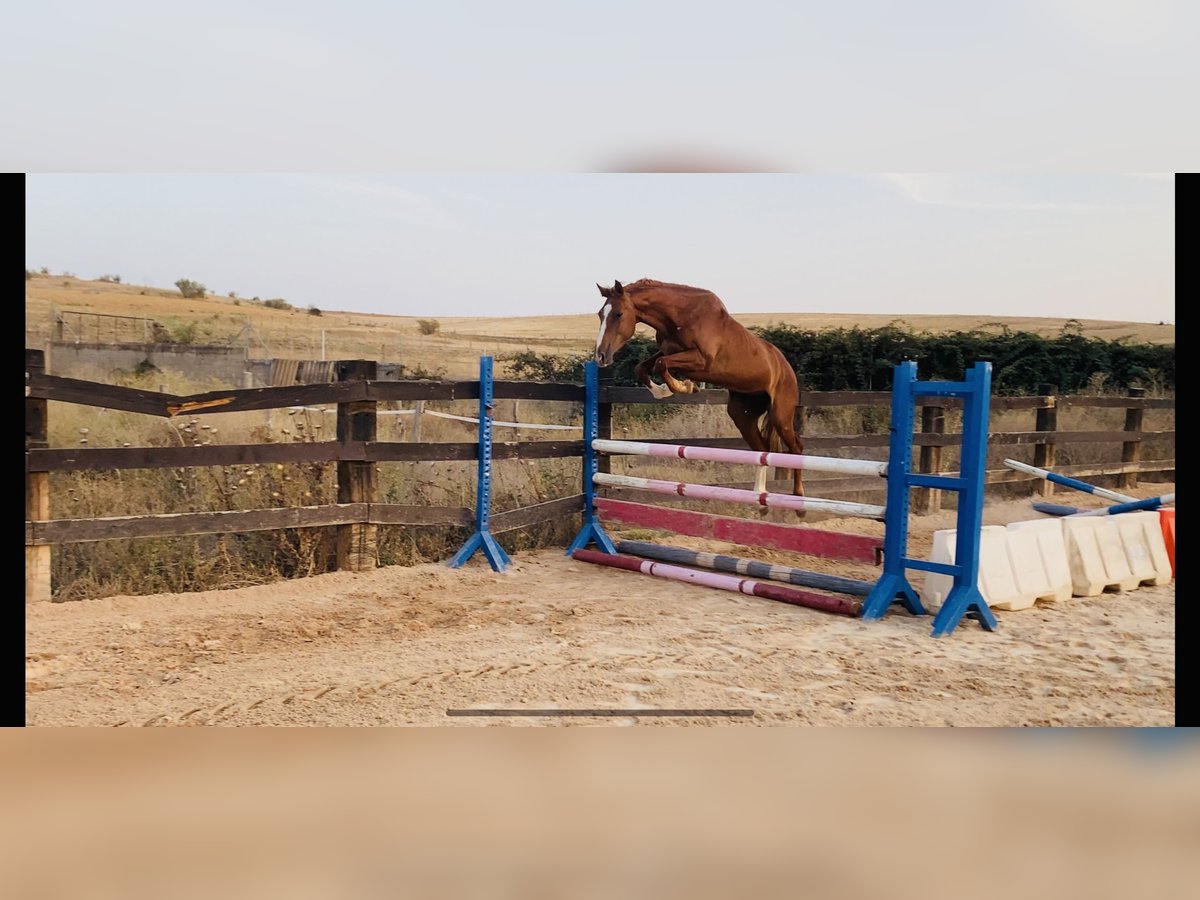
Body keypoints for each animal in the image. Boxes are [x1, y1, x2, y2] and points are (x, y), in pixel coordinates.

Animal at [592, 278, 806, 511]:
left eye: (619, 314)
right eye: (600, 314)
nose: (600, 356)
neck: (679, 317)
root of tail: (787, 368)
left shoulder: (702, 361)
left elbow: (661, 365)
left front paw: (684, 386)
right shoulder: (668, 350)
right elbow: (643, 367)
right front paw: (667, 390)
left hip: (780, 414)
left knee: (796, 448)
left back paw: (799, 501)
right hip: (742, 413)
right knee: (762, 448)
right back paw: (760, 498)